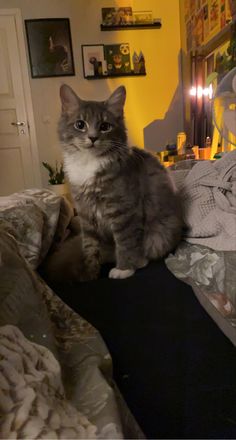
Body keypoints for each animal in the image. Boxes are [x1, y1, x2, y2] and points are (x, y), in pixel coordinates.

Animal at [57, 84, 183, 280]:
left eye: (105, 126)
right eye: (80, 125)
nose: (93, 138)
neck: (89, 163)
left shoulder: (124, 211)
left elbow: (126, 243)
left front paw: (124, 269)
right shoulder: (86, 213)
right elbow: (89, 246)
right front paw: (89, 273)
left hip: (158, 237)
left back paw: (138, 262)